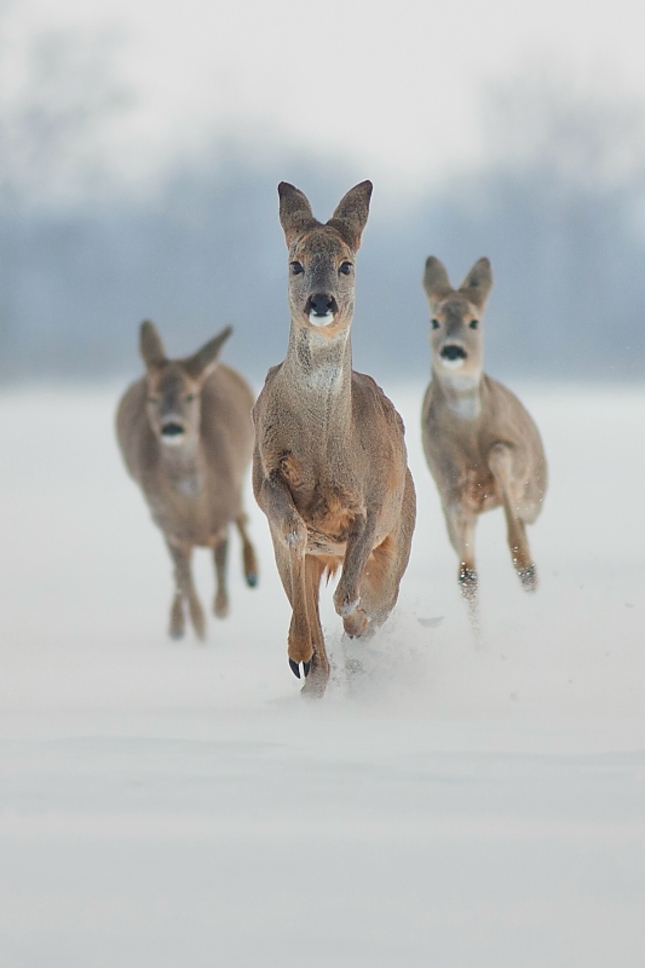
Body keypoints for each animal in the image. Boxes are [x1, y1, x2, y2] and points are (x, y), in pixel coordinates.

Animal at [117, 324, 258, 644]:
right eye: (153, 398)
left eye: (191, 396)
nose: (171, 426)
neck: (195, 507)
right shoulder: (168, 526)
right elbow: (185, 580)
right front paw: (198, 628)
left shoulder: (221, 515)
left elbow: (221, 570)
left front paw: (220, 608)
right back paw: (177, 625)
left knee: (243, 516)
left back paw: (252, 573)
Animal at [249, 182, 416, 696]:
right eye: (295, 264)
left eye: (346, 264)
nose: (321, 302)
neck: (325, 446)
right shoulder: (264, 476)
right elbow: (293, 529)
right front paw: (301, 652)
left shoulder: (375, 503)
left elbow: (348, 598)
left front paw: (354, 629)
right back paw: (307, 664)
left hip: (399, 538)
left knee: (373, 601)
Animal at [420, 253, 544, 624]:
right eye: (434, 321)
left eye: (474, 322)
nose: (452, 350)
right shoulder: (447, 483)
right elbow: (466, 572)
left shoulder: (518, 455)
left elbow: (499, 454)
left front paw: (525, 565)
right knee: (468, 576)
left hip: (534, 495)